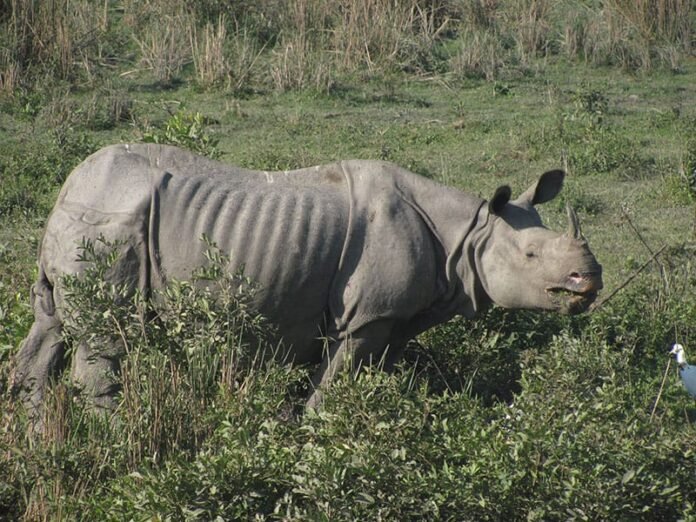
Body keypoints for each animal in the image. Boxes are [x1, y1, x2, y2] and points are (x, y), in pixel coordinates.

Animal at [12, 143, 602, 415]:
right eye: (531, 254)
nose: (589, 279)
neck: (470, 232)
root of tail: (67, 187)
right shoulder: (367, 318)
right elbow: (334, 386)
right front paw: (314, 443)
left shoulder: (390, 319)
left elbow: (366, 376)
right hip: (111, 224)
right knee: (104, 337)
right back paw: (110, 434)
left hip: (83, 220)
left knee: (50, 325)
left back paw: (39, 433)